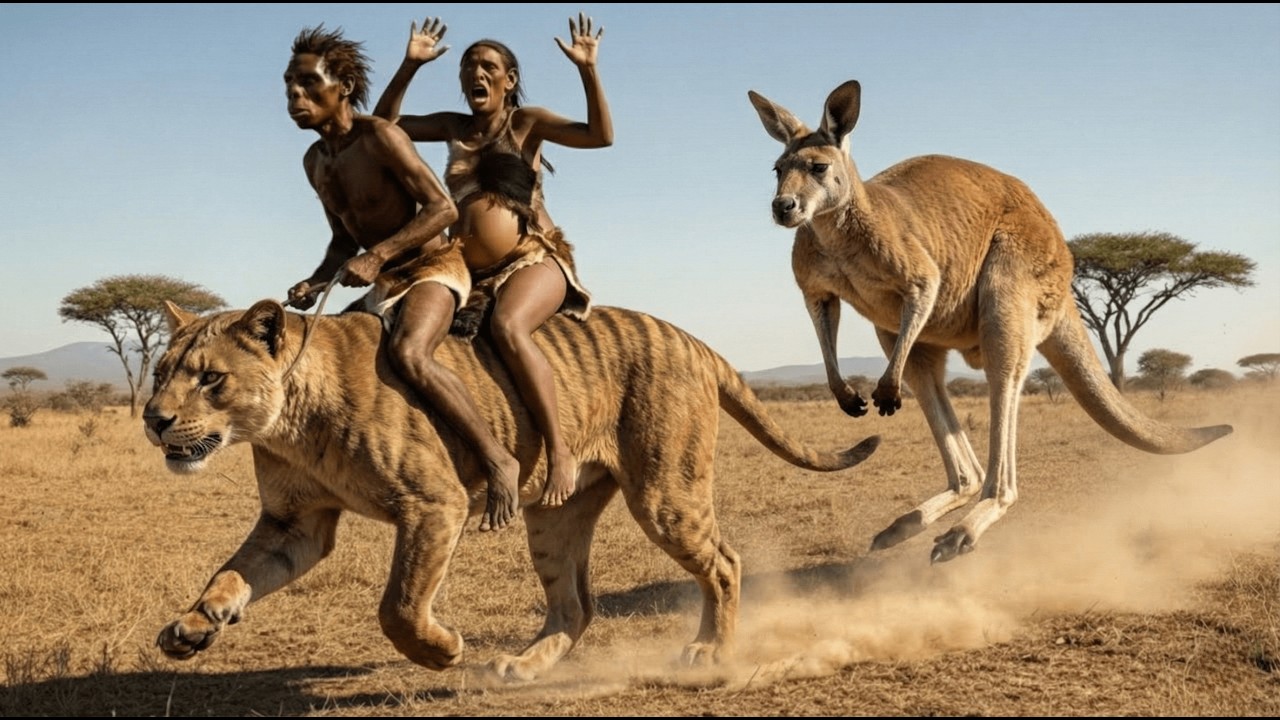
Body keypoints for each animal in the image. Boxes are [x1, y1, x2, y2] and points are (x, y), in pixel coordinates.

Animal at [143, 299, 880, 681]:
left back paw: (708, 653)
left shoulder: (434, 503)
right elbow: (232, 573)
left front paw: (442, 651)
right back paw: (524, 667)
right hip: (555, 515)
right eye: (159, 371)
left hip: (665, 491)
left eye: (210, 378)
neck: (287, 421)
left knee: (723, 562)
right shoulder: (295, 523)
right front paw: (193, 628)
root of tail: (691, 339)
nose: (153, 419)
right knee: (576, 604)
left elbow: (399, 604)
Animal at [748, 79, 1232, 564]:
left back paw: (961, 531)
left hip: (1011, 283)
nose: (783, 207)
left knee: (1002, 385)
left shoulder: (918, 269)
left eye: (818, 167)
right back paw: (902, 527)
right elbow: (823, 322)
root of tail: (1066, 271)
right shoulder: (815, 286)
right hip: (910, 336)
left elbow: (923, 291)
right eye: (777, 169)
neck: (835, 228)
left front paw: (881, 393)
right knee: (937, 403)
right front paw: (847, 396)